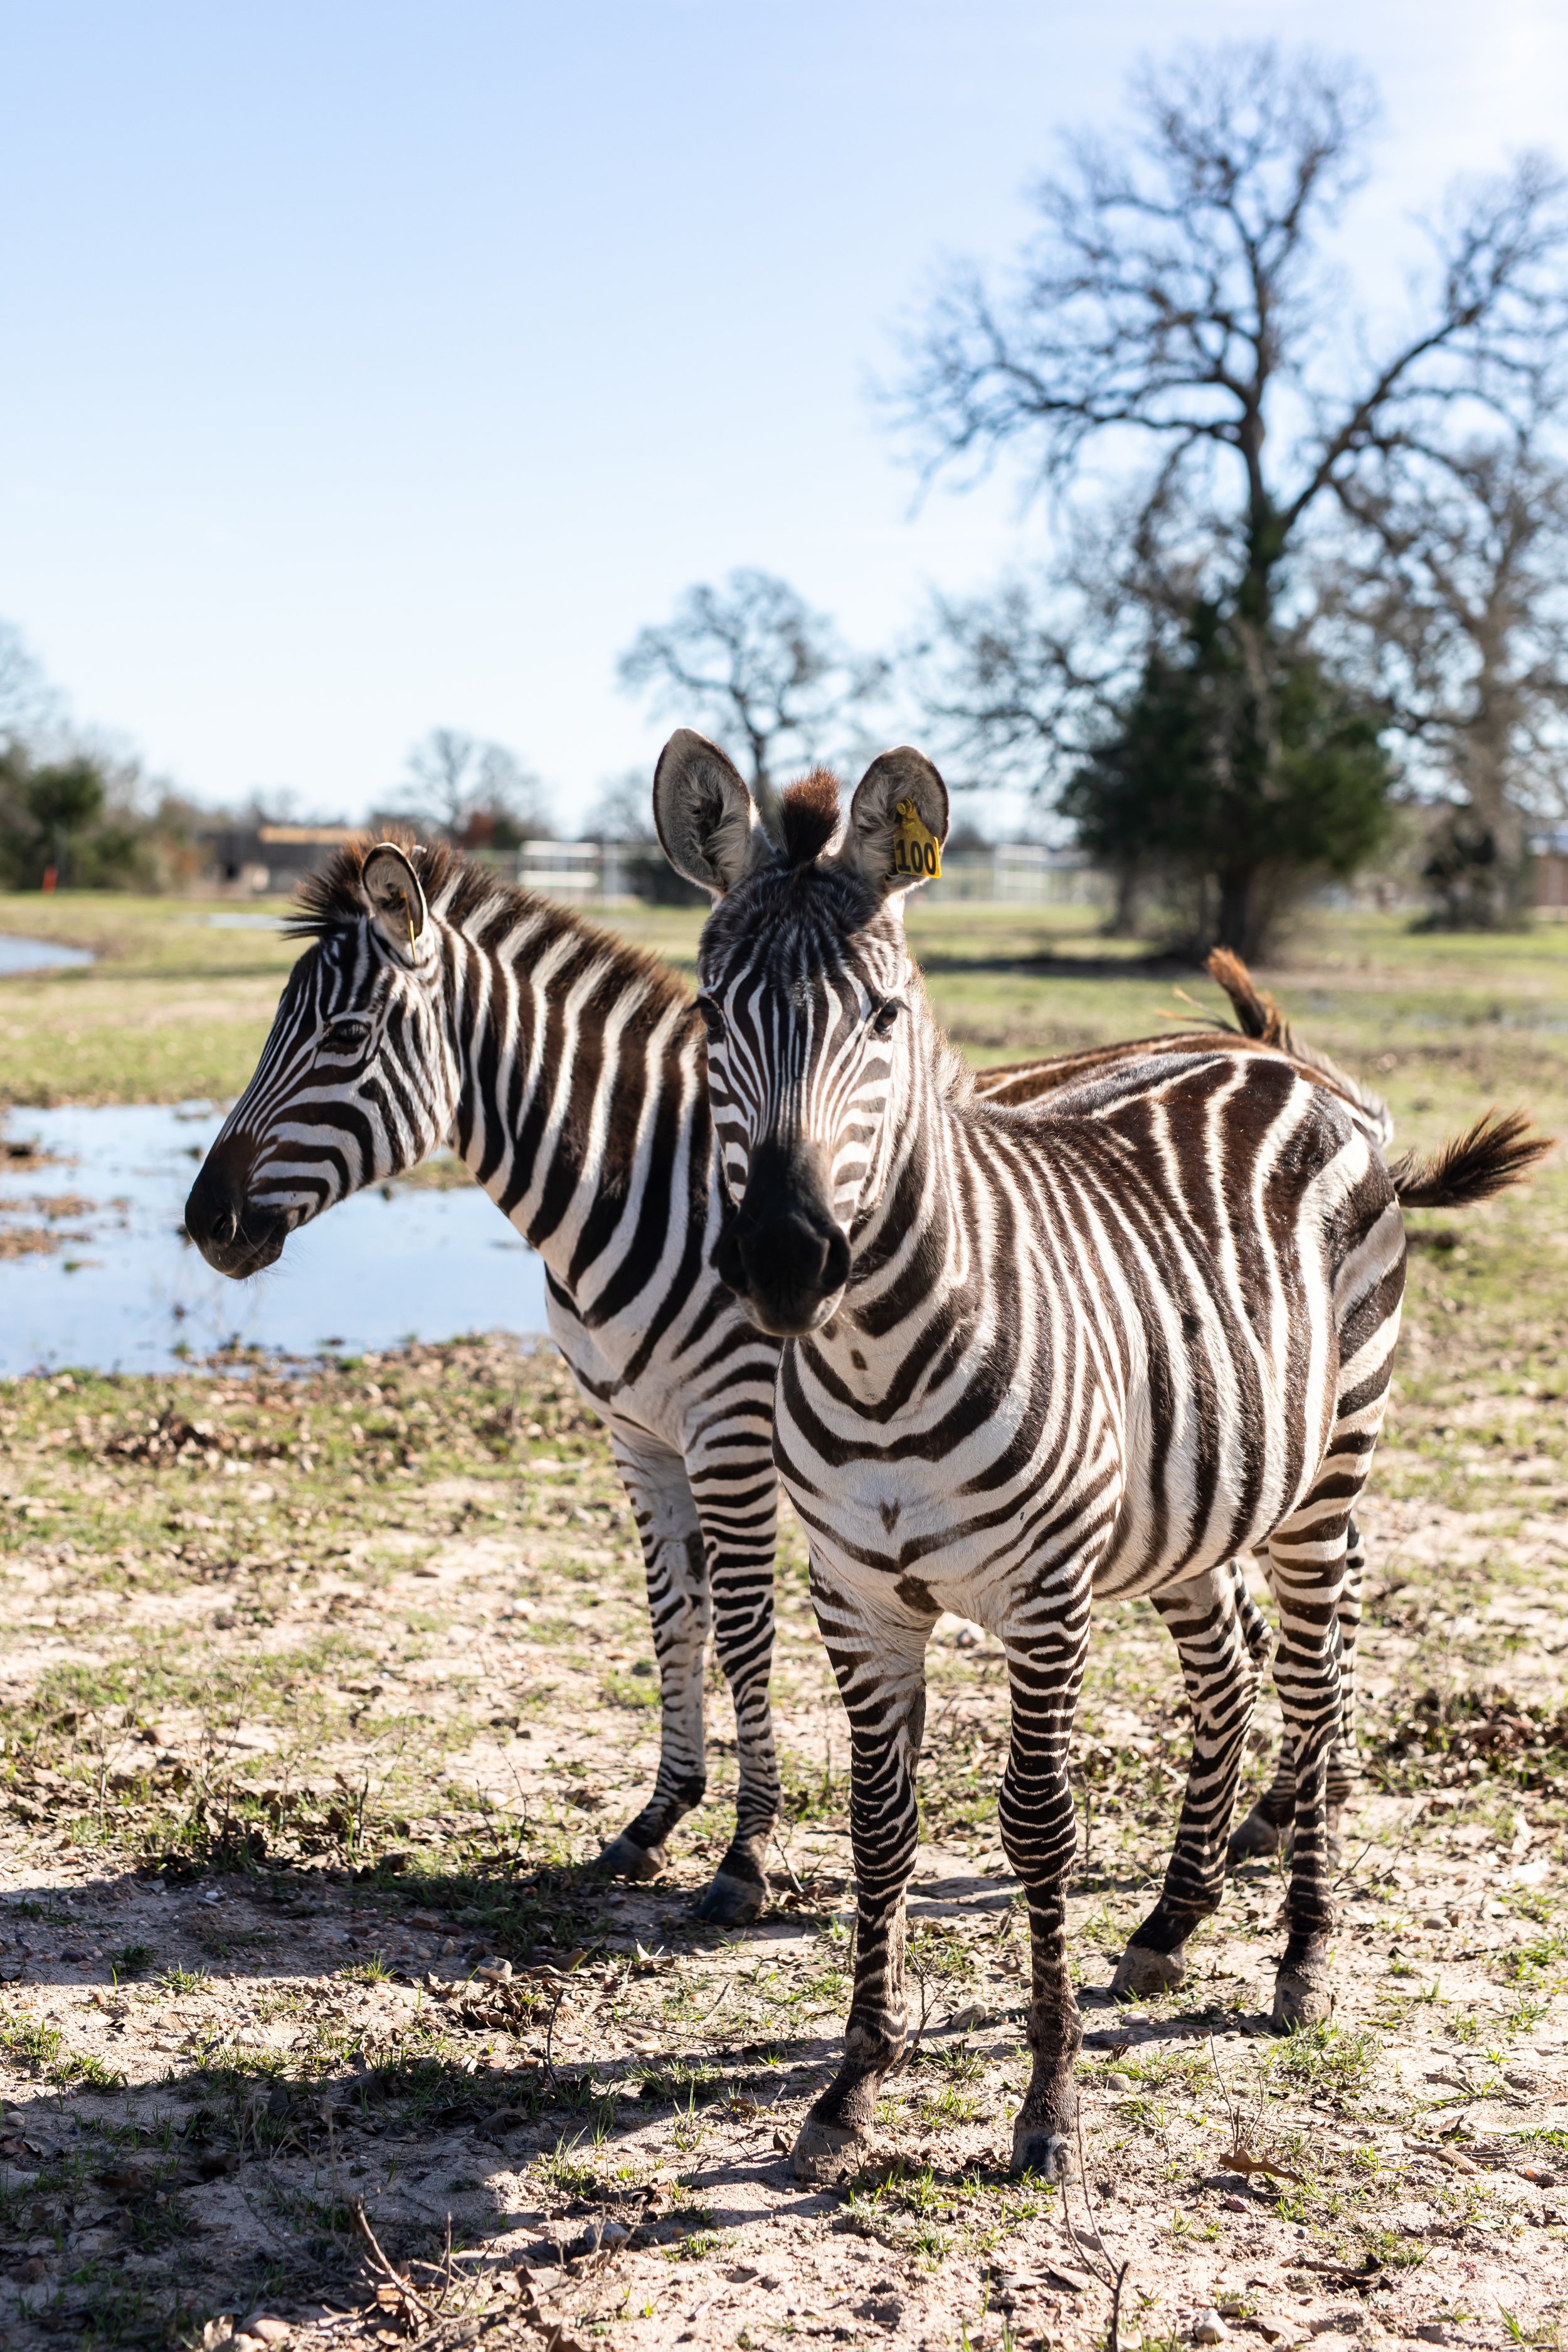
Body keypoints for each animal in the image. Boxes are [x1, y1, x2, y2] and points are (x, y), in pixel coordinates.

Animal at [184, 835, 1395, 1922]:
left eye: (345, 1036)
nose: (207, 1223)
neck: (646, 1181)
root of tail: (1303, 1067)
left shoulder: (731, 1428)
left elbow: (741, 1629)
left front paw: (746, 1854)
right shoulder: (638, 1435)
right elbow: (670, 1617)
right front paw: (657, 1817)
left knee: (1323, 1604)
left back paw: (1298, 1812)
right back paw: (1258, 1826)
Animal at [653, 727, 1545, 2183]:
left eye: (883, 1020)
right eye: (711, 1016)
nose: (784, 1261)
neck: (876, 1360)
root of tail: (1305, 1072)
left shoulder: (1044, 1597)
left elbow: (1035, 1826)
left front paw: (1048, 2103)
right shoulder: (856, 1597)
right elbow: (881, 1829)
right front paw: (849, 2088)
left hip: (1326, 1476)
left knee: (1312, 1690)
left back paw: (1301, 1958)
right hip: (1196, 1501)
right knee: (1229, 1675)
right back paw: (1171, 1926)